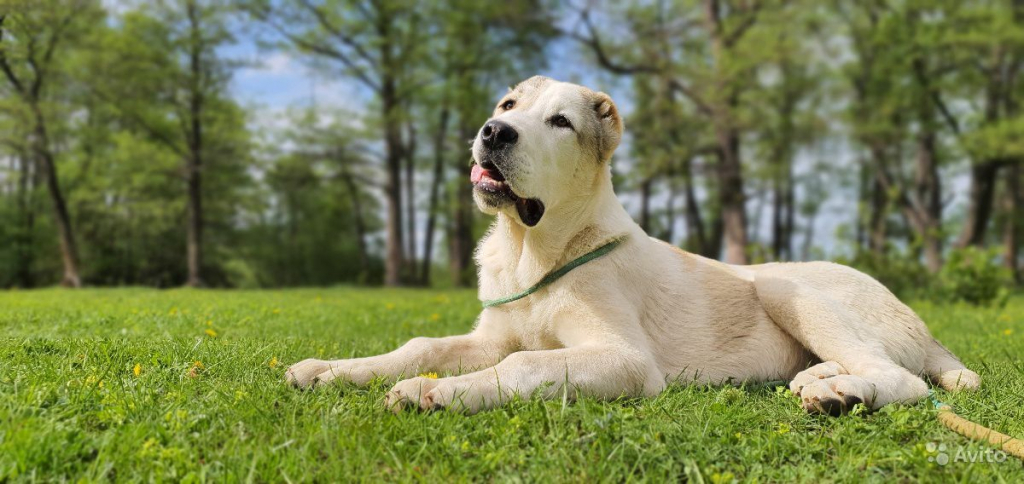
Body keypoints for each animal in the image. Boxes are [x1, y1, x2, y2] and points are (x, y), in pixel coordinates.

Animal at [284, 76, 978, 415]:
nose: (493, 132)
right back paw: (821, 378)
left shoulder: (624, 360)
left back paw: (844, 392)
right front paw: (332, 370)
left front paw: (436, 392)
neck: (535, 248)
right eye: (507, 104)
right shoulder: (489, 336)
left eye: (561, 122)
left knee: (905, 381)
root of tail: (922, 327)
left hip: (785, 286)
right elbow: (424, 345)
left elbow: (525, 364)